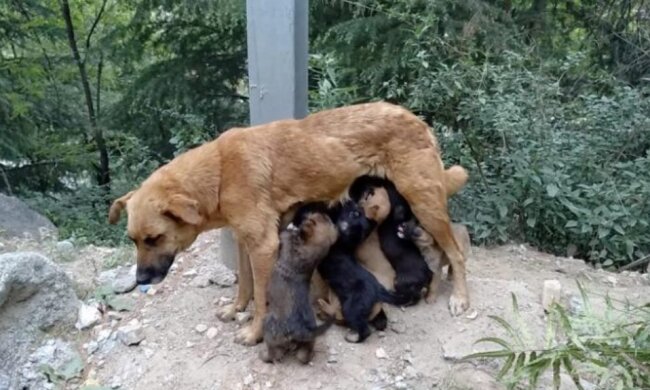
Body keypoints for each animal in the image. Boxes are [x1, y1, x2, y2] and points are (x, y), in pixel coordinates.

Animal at [260, 206, 336, 364]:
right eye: (326, 218)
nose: (306, 212)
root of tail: (301, 330)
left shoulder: (285, 237)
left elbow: (284, 232)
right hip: (307, 343)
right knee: (304, 356)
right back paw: (310, 355)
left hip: (268, 326)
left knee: (274, 353)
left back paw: (265, 356)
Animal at [316, 200, 410, 342]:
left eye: (354, 213)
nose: (350, 201)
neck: (345, 242)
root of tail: (378, 289)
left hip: (351, 308)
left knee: (365, 330)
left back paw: (353, 338)